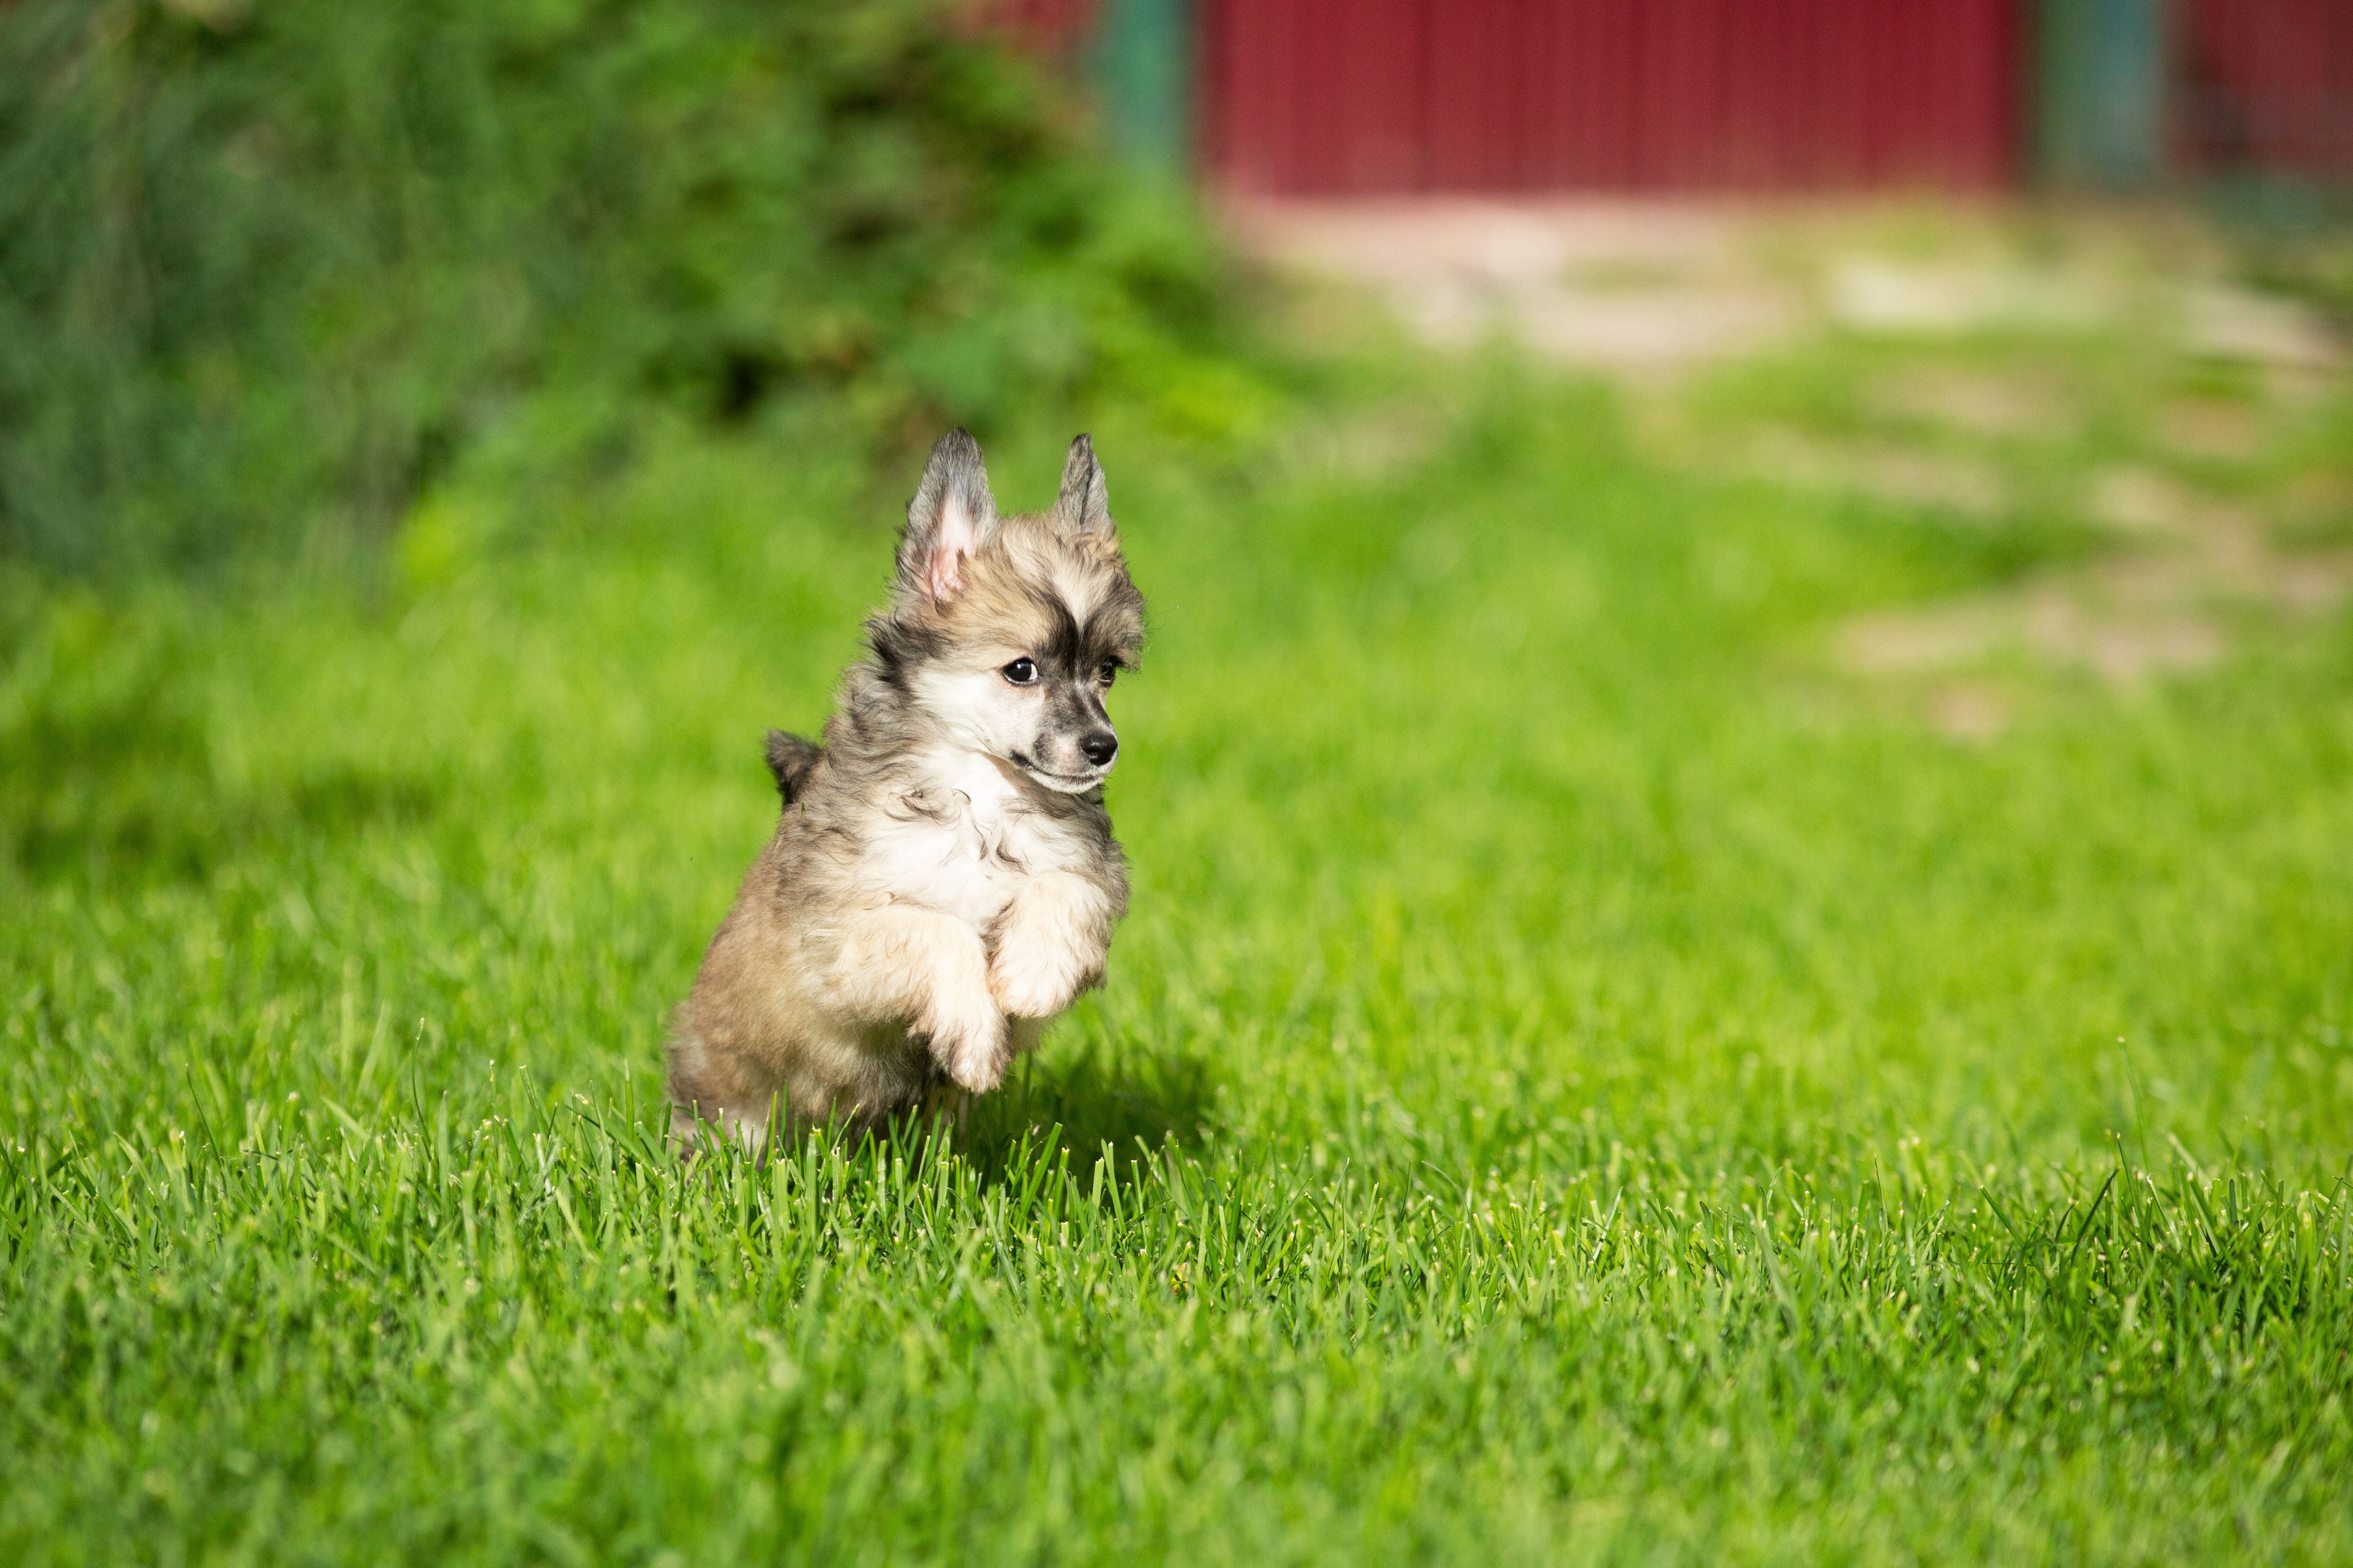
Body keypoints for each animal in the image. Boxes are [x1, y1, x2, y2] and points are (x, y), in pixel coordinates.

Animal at [668, 430, 1144, 1152]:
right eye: (1021, 670)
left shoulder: (1084, 874)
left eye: (1107, 671)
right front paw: (976, 1038)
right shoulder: (843, 938)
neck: (981, 799)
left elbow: (1062, 888)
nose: (1101, 747)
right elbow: (935, 929)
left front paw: (1030, 977)